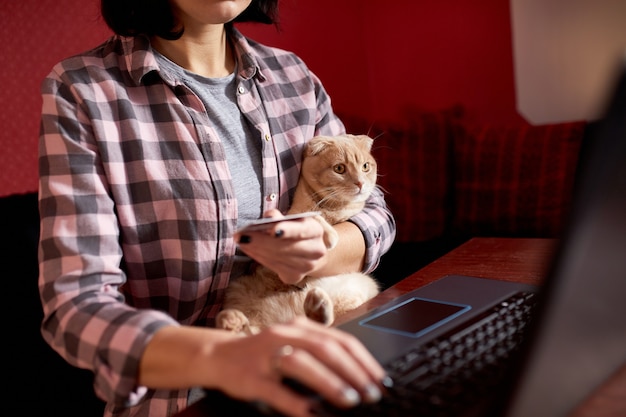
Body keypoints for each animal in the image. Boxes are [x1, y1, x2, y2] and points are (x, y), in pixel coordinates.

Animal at [217, 135, 378, 334]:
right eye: (339, 168)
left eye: (365, 166)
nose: (360, 183)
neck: (332, 208)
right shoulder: (294, 215)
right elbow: (311, 216)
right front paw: (328, 231)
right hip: (237, 289)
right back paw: (231, 320)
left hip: (354, 287)